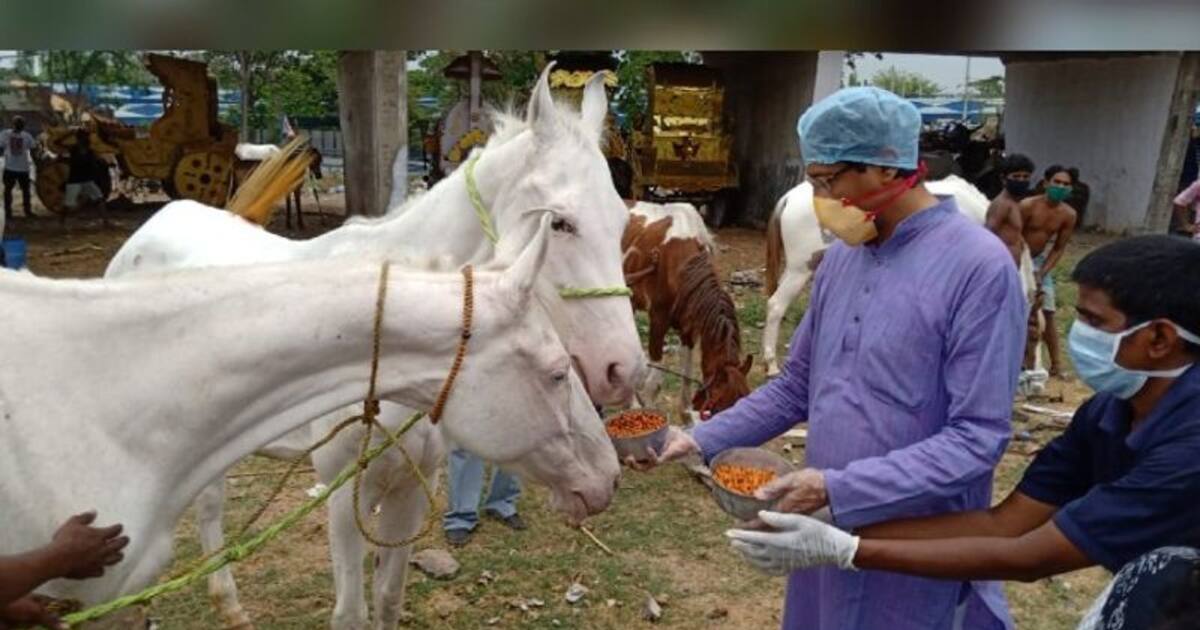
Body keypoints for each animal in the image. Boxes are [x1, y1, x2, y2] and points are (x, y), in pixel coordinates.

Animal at [108, 65, 643, 628]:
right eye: (559, 222)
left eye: (621, 222)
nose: (623, 369)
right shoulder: (345, 496)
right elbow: (351, 612)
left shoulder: (413, 486)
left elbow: (388, 597)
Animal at [628, 201, 748, 415]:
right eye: (720, 406)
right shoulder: (658, 320)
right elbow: (654, 385)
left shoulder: (689, 327)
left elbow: (686, 377)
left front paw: (686, 415)